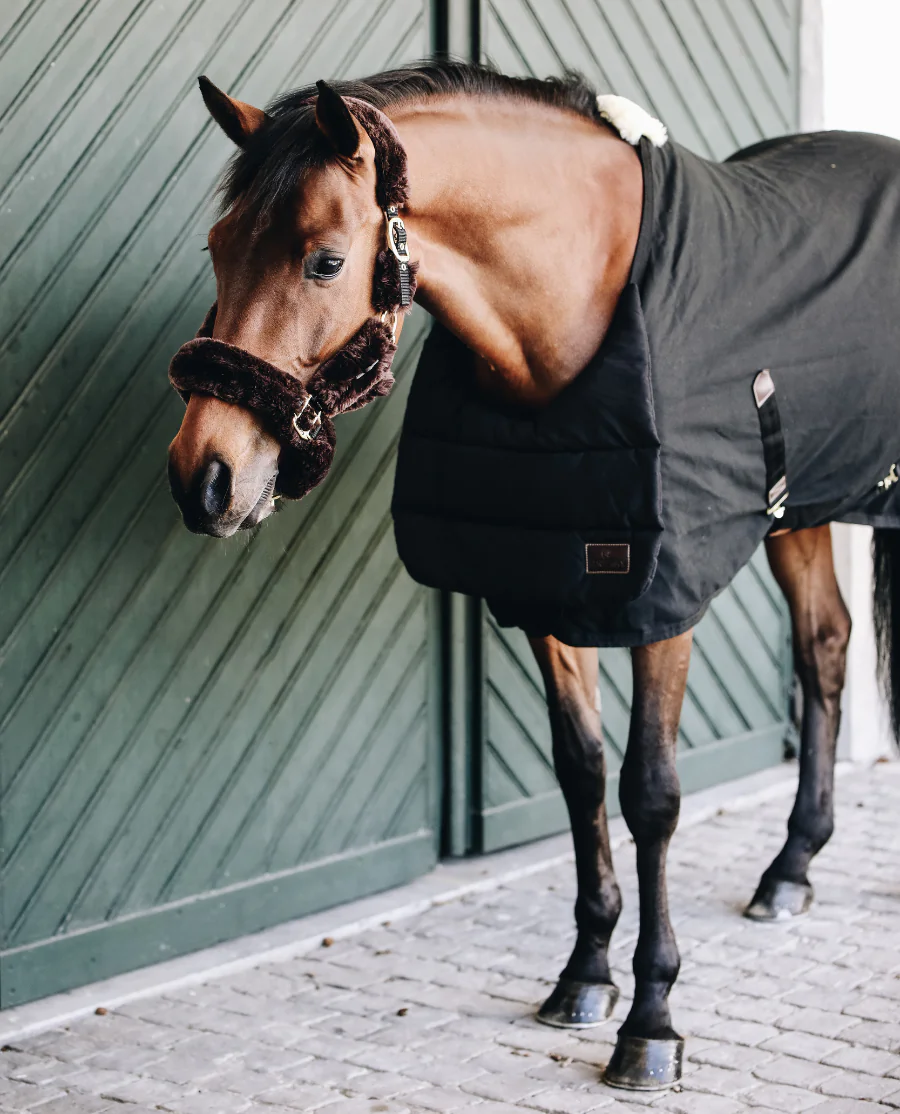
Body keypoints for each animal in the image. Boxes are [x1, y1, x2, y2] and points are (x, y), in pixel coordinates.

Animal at [166, 61, 900, 1091]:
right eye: (218, 244)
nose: (205, 479)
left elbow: (651, 795)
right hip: (803, 509)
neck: (581, 299)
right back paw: (789, 870)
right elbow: (580, 773)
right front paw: (585, 975)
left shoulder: (661, 602)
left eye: (323, 261)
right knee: (825, 645)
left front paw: (653, 1021)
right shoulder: (552, 585)